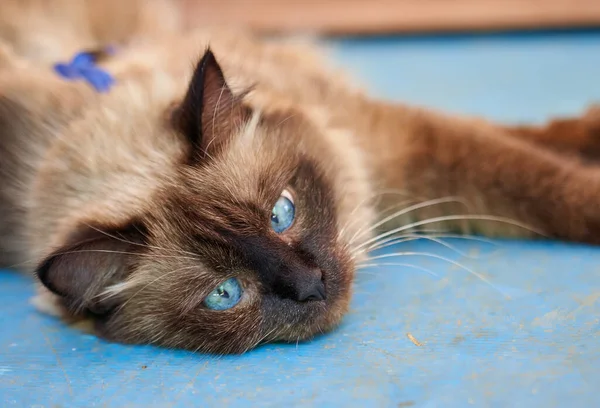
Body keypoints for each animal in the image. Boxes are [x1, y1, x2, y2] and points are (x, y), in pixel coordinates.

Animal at [1, 0, 600, 352]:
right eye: (225, 294)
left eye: (282, 213)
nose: (312, 285)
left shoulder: (395, 143)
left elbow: (541, 169)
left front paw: (585, 144)